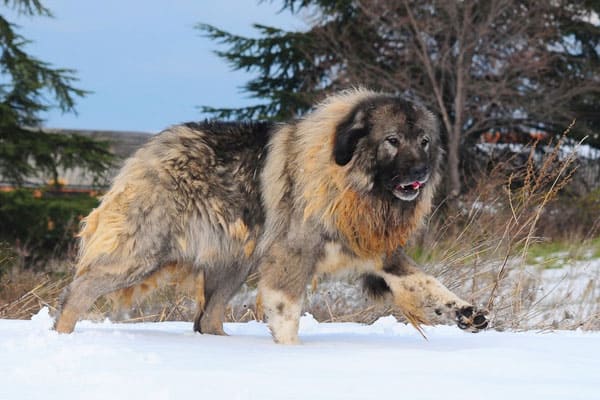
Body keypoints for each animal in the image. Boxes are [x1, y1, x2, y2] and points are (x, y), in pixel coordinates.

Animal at [54, 89, 488, 342]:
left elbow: (429, 286)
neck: (347, 180)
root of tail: (150, 148)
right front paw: (290, 354)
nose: (421, 173)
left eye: (425, 141)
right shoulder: (292, 256)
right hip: (142, 252)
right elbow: (287, 312)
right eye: (392, 141)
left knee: (206, 318)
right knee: (79, 290)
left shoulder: (380, 254)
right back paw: (61, 337)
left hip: (234, 264)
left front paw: (467, 313)